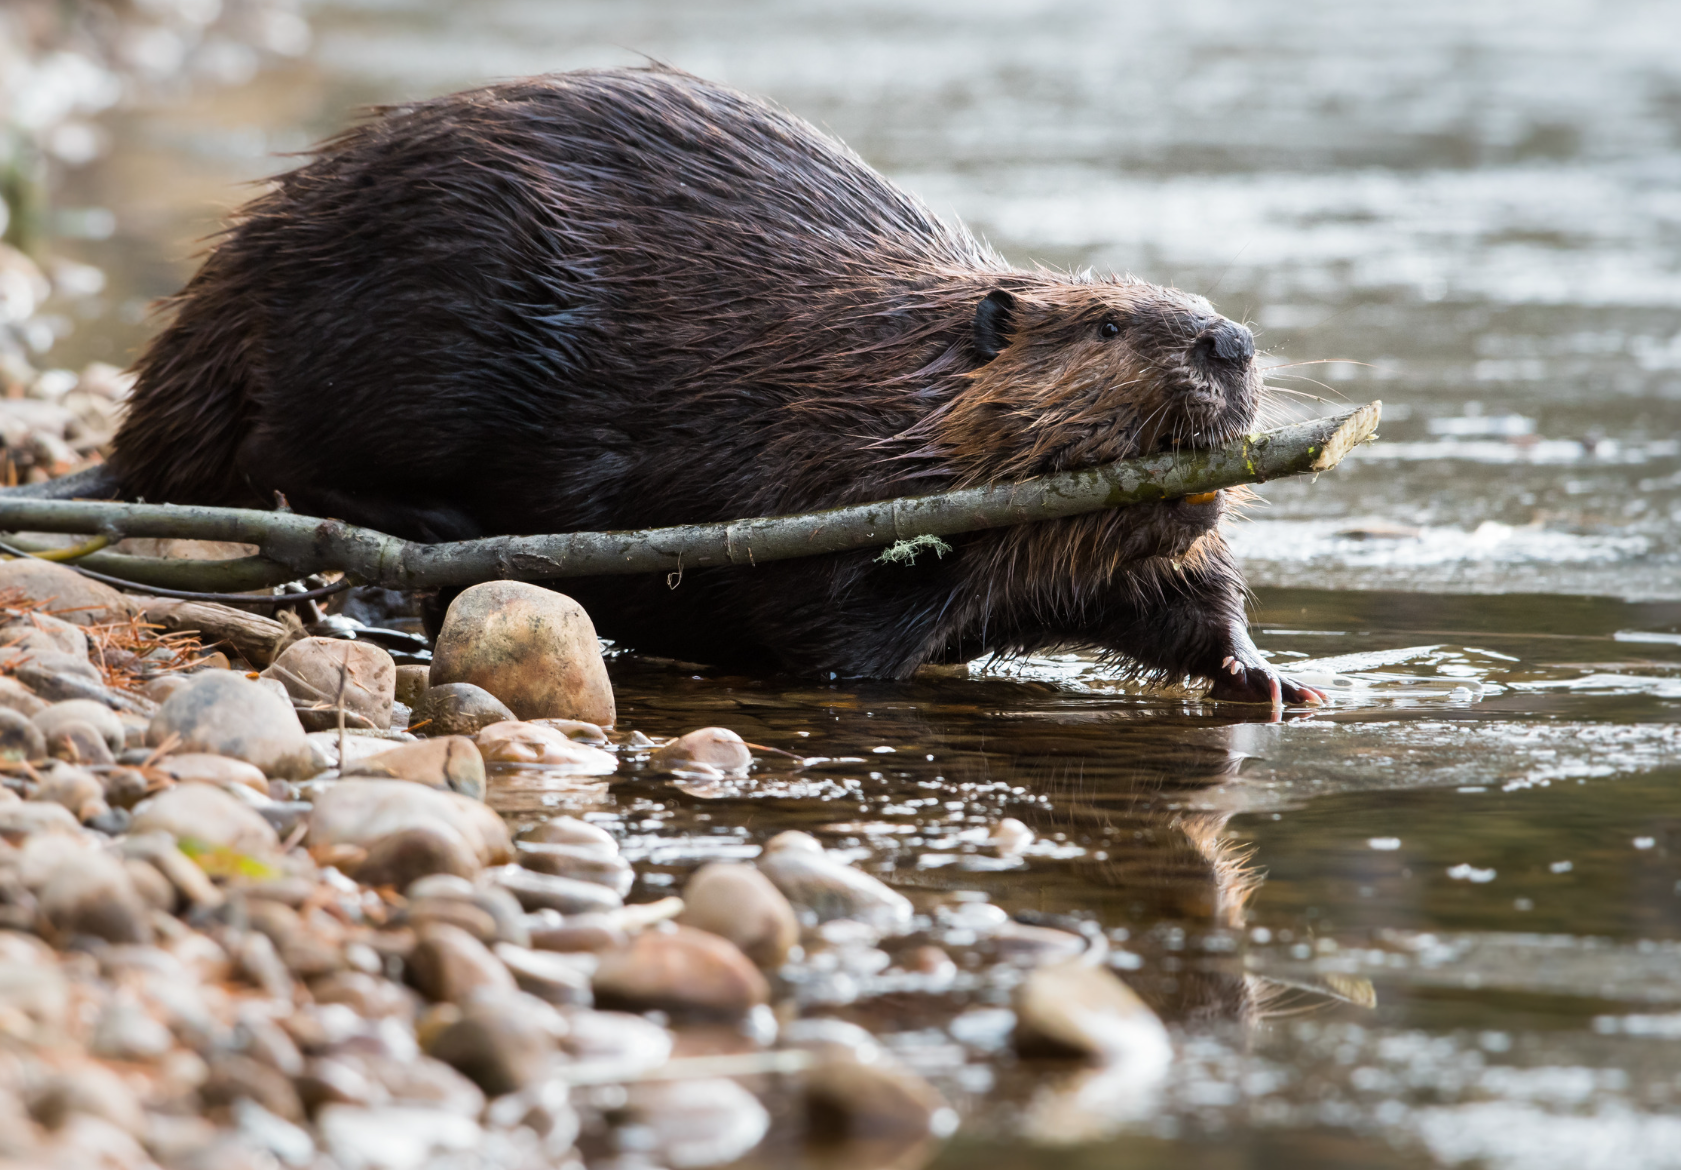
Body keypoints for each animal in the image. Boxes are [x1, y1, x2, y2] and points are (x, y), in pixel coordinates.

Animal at [95, 68, 1324, 709]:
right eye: (1108, 322)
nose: (1228, 339)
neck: (889, 368)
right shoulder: (819, 472)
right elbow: (827, 623)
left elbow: (1184, 592)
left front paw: (1270, 680)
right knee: (292, 461)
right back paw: (428, 529)